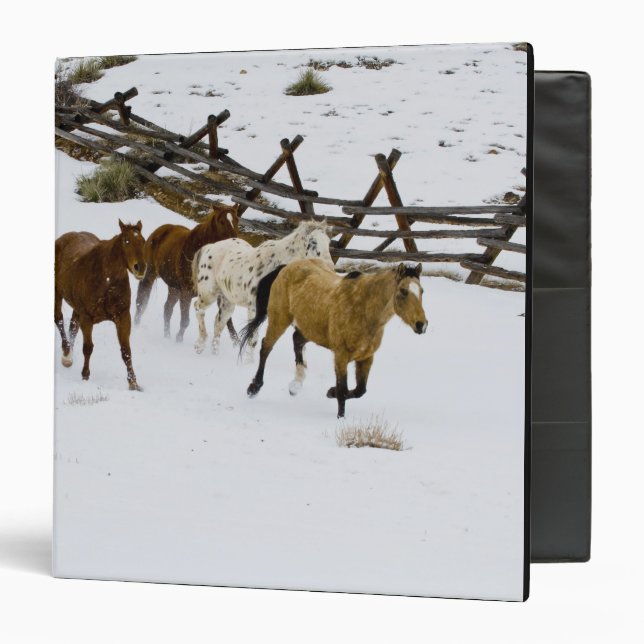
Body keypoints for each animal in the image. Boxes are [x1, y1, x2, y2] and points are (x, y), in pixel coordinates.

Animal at [55, 220, 146, 391]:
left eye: (143, 241)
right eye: (126, 241)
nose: (141, 268)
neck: (107, 282)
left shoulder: (123, 317)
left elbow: (126, 351)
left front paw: (133, 383)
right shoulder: (87, 318)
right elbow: (88, 348)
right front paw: (85, 375)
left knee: (73, 326)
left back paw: (68, 356)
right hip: (57, 294)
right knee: (59, 320)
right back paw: (66, 355)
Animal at [134, 203, 239, 342]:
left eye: (237, 220)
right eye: (221, 221)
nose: (235, 242)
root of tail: (159, 231)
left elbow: (226, 321)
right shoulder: (186, 292)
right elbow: (185, 321)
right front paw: (178, 341)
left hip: (174, 287)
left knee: (167, 309)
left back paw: (166, 335)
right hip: (150, 275)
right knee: (141, 301)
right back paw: (136, 325)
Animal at [192, 219, 332, 361]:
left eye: (328, 242)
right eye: (313, 241)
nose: (330, 267)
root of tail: (210, 247)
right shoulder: (254, 309)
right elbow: (253, 339)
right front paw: (249, 363)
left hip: (227, 302)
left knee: (218, 323)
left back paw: (214, 353)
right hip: (208, 294)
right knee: (199, 309)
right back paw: (199, 345)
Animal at [239, 260, 428, 418]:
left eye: (421, 291)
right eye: (403, 291)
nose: (422, 324)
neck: (364, 310)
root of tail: (287, 266)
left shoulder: (366, 357)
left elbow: (360, 390)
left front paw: (330, 392)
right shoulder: (341, 356)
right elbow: (343, 390)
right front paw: (339, 416)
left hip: (311, 328)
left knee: (296, 340)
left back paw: (295, 385)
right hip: (279, 319)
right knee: (266, 347)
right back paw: (254, 387)